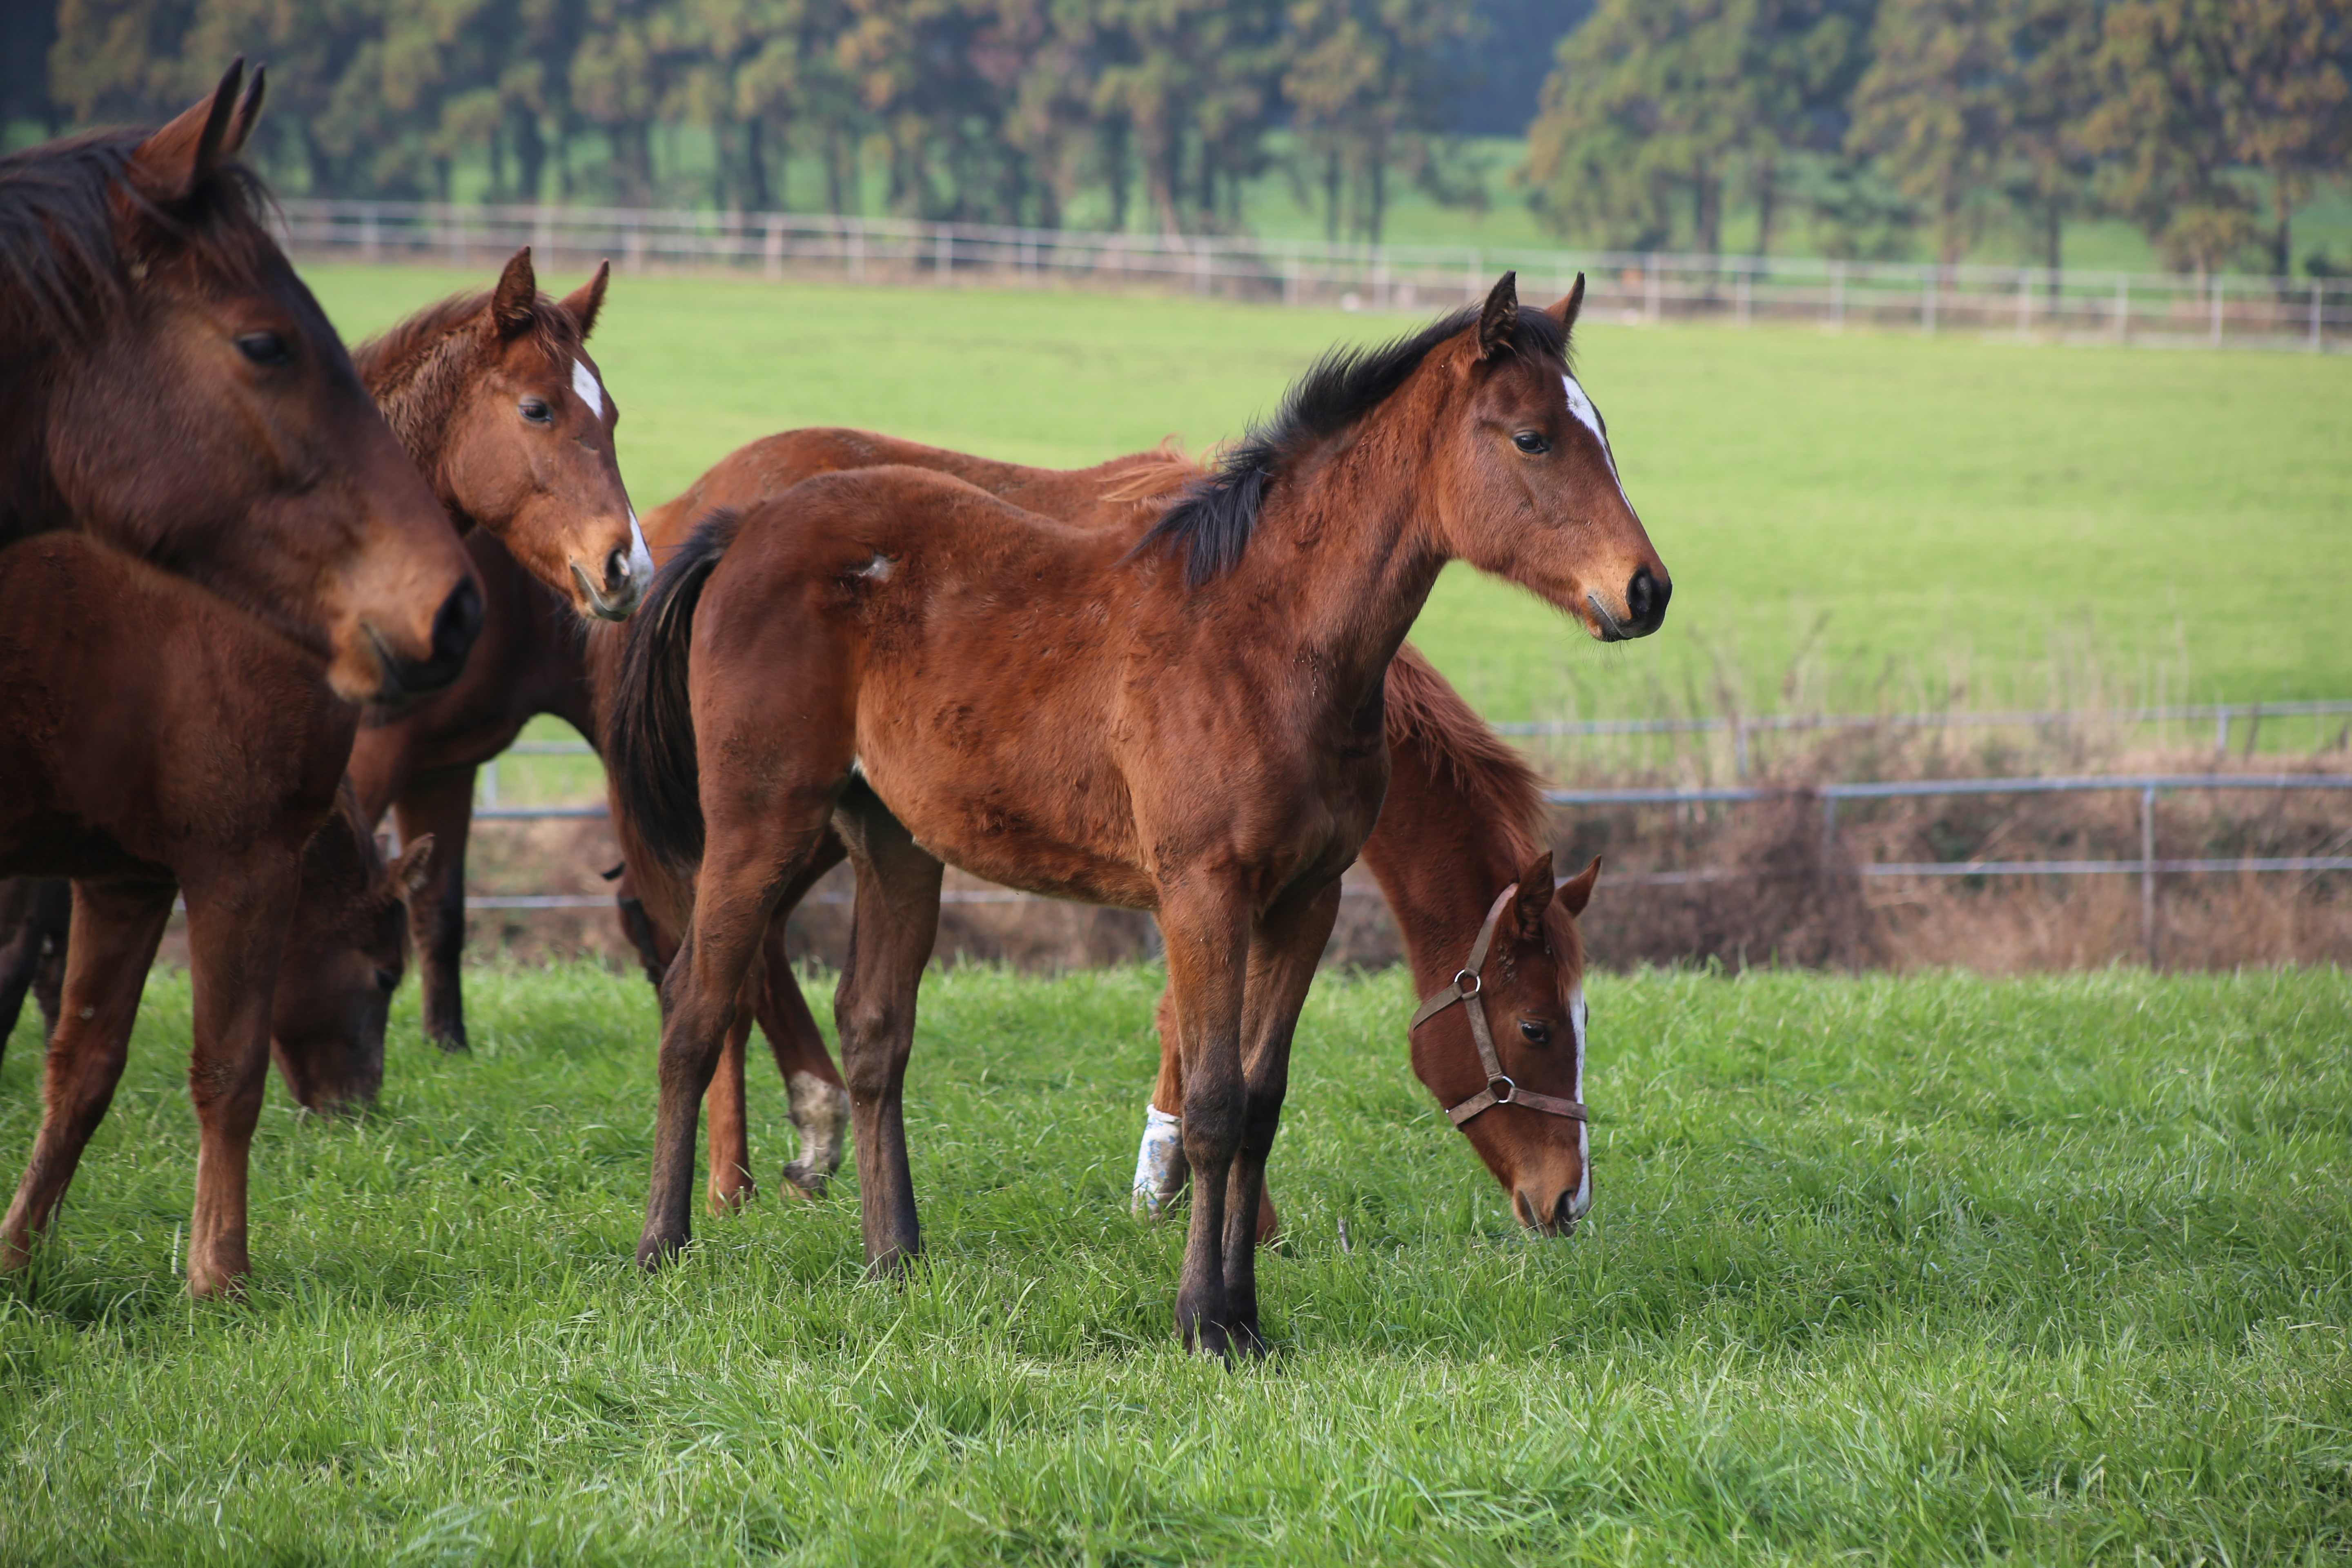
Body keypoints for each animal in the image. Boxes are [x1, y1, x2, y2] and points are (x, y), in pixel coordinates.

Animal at [0, 533, 412, 1297]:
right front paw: (220, 1275)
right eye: (386, 976)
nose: (357, 1108)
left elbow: (82, 1067)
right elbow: (228, 1071)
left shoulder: (125, 878)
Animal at [607, 276, 1675, 1354]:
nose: (1646, 589)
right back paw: (665, 1245)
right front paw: (1203, 1318)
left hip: (894, 841)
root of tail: (739, 529)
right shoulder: (1200, 893)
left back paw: (893, 1258)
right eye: (1533, 437)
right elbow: (1210, 1102)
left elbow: (1261, 1103)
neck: (1268, 637)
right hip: (762, 825)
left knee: (874, 1032)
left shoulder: (1305, 900)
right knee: (696, 1004)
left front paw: (1246, 1313)